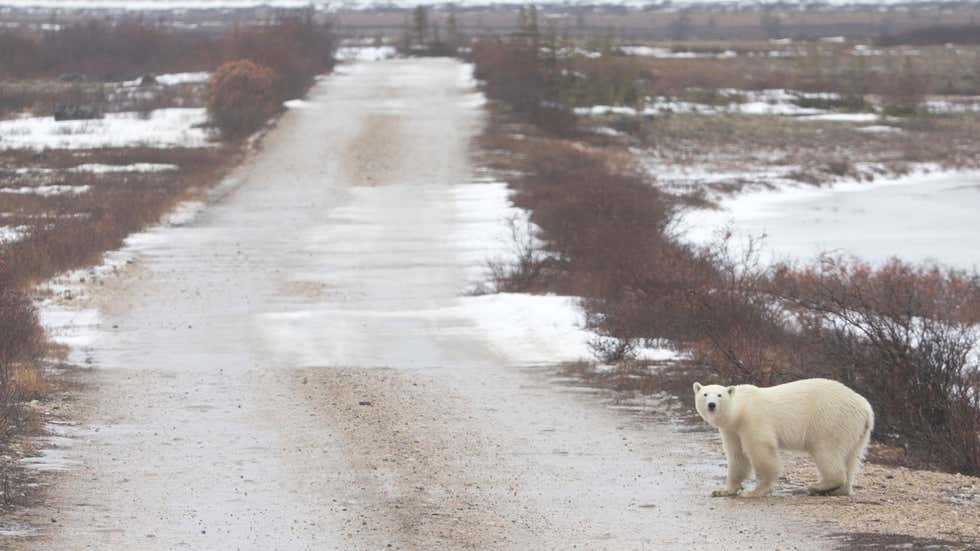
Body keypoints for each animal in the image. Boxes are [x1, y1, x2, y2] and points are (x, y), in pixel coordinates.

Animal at [692, 380, 876, 500]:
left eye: (719, 395)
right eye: (705, 394)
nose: (711, 405)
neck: (740, 410)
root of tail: (866, 409)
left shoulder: (753, 420)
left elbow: (761, 451)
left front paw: (754, 492)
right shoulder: (732, 430)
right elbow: (737, 456)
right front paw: (723, 491)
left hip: (830, 420)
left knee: (827, 452)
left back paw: (818, 486)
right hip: (855, 430)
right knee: (852, 457)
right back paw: (838, 490)